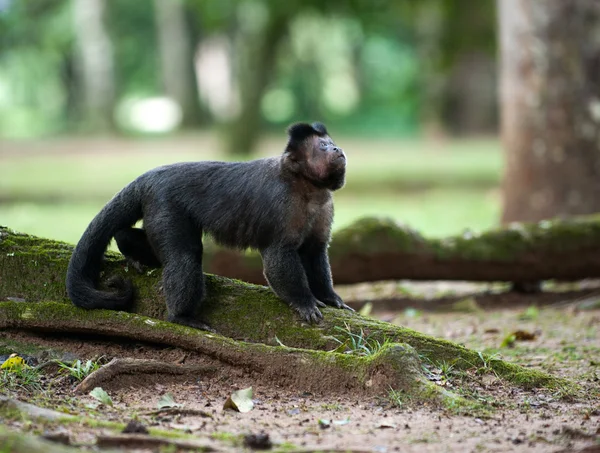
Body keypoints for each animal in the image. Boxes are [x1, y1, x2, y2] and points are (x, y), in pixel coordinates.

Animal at [66, 122, 354, 330]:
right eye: (324, 147)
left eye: (332, 144)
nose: (338, 149)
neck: (306, 186)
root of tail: (148, 177)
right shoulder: (281, 203)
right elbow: (279, 256)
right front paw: (303, 302)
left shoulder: (325, 206)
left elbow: (315, 251)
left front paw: (331, 297)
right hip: (165, 204)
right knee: (185, 256)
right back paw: (181, 316)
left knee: (136, 238)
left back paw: (129, 248)